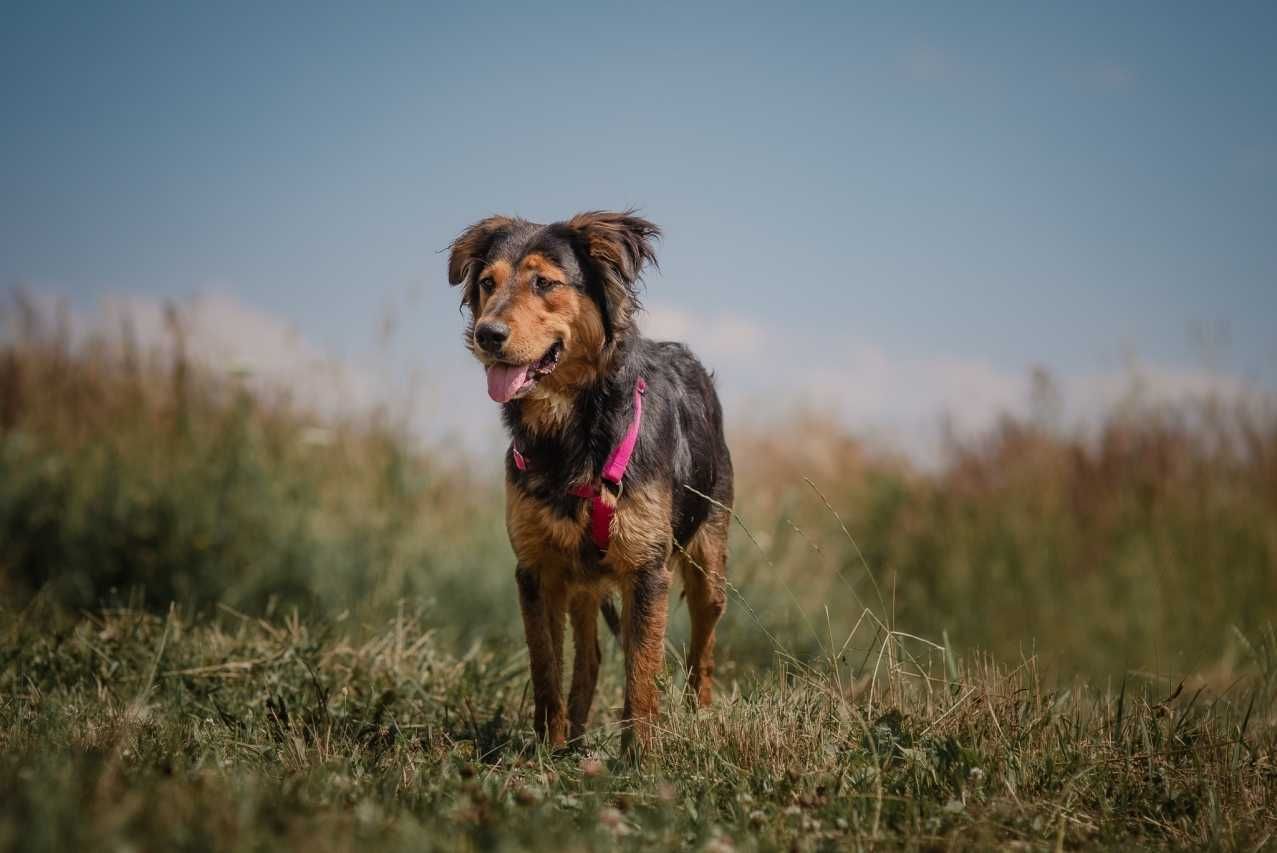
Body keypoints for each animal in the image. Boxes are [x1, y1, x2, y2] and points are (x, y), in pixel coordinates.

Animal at [446, 211, 730, 750]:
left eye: (544, 283)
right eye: (487, 283)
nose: (486, 335)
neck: (569, 431)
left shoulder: (646, 568)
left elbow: (641, 676)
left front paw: (640, 758)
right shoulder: (537, 569)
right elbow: (546, 671)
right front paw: (547, 750)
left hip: (708, 562)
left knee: (701, 654)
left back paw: (702, 719)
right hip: (583, 581)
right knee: (591, 658)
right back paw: (574, 742)